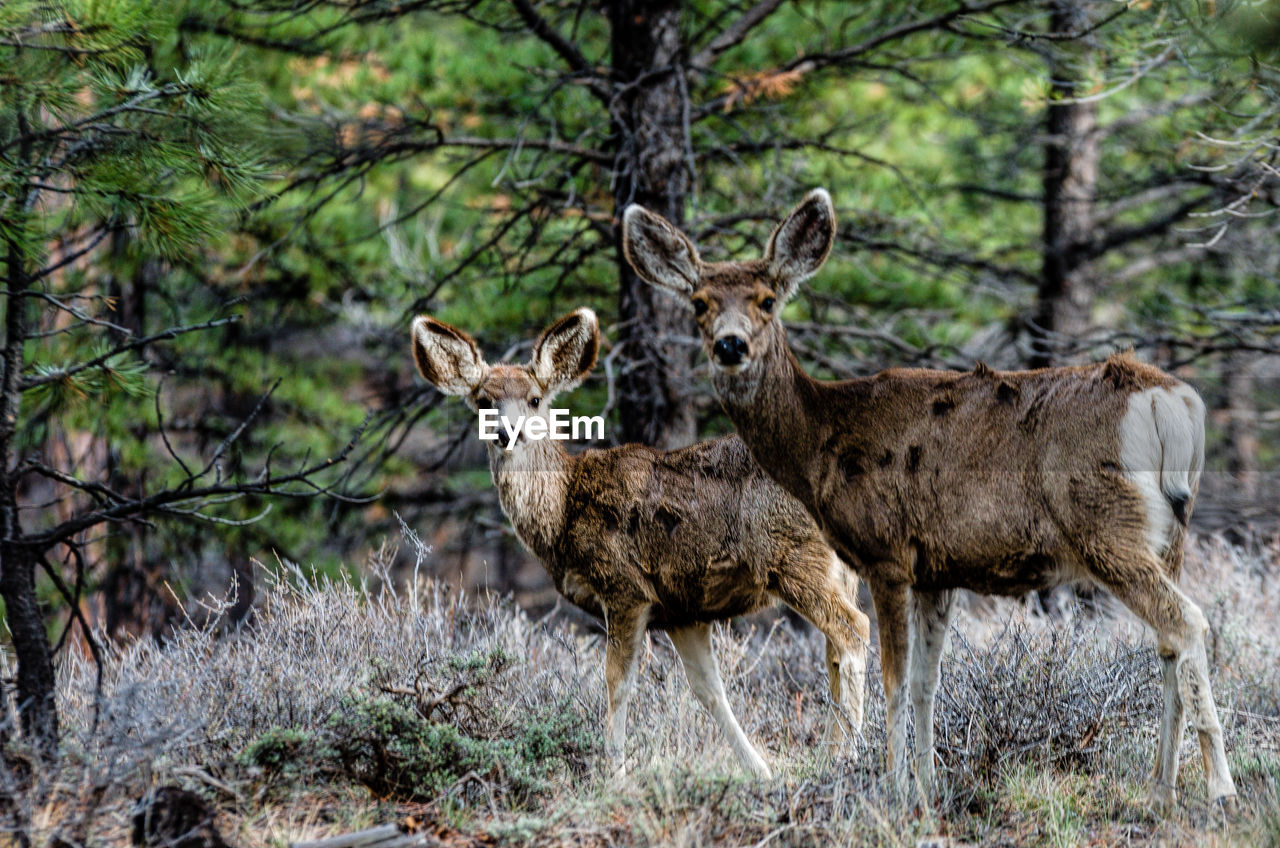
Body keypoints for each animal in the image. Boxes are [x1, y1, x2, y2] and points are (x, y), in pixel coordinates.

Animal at [409, 308, 870, 778]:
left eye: (535, 399)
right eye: (483, 401)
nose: (507, 433)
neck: (563, 512)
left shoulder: (624, 586)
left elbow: (618, 681)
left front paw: (613, 770)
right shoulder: (683, 611)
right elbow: (709, 690)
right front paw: (760, 770)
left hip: (792, 555)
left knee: (854, 631)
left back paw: (849, 754)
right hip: (835, 569)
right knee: (835, 649)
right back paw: (835, 750)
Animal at [622, 188, 1239, 809]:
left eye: (768, 300)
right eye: (700, 303)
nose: (731, 345)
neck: (820, 440)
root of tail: (1171, 402)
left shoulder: (886, 553)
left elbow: (893, 679)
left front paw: (894, 788)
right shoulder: (937, 570)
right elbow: (926, 682)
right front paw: (927, 786)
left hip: (1105, 525)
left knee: (1187, 623)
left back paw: (1220, 787)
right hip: (1169, 534)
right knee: (1168, 639)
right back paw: (1161, 787)